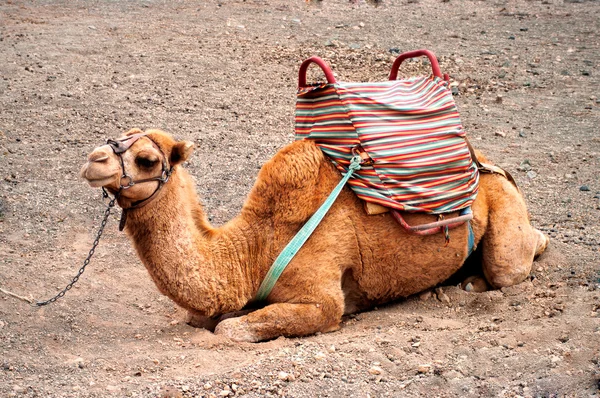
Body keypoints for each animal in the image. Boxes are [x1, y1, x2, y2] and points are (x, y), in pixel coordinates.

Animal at [79, 128, 548, 342]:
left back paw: (475, 281)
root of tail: (487, 163)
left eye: (145, 159)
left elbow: (230, 330)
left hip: (503, 205)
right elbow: (201, 318)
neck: (254, 250)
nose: (93, 159)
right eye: (113, 139)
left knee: (510, 265)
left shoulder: (322, 298)